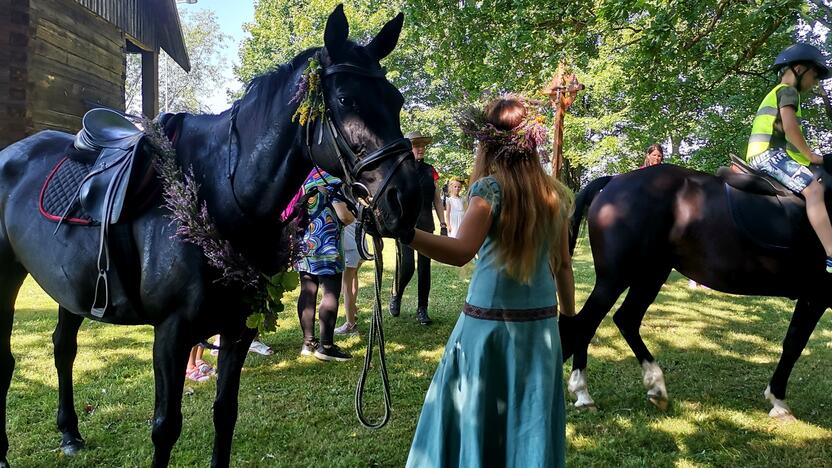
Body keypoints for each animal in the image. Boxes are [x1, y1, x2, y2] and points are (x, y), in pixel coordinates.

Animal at [0, 5, 420, 466]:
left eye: (397, 100)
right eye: (346, 100)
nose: (406, 200)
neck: (221, 190)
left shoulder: (239, 329)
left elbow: (225, 414)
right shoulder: (171, 334)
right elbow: (166, 428)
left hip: (70, 287)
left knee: (63, 348)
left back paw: (70, 433)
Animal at [564, 164, 828, 420]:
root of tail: (613, 181)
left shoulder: (813, 298)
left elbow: (793, 343)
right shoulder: (815, 297)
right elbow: (794, 344)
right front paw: (778, 401)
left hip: (651, 275)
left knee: (624, 319)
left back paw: (654, 387)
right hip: (615, 279)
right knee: (585, 324)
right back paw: (583, 393)